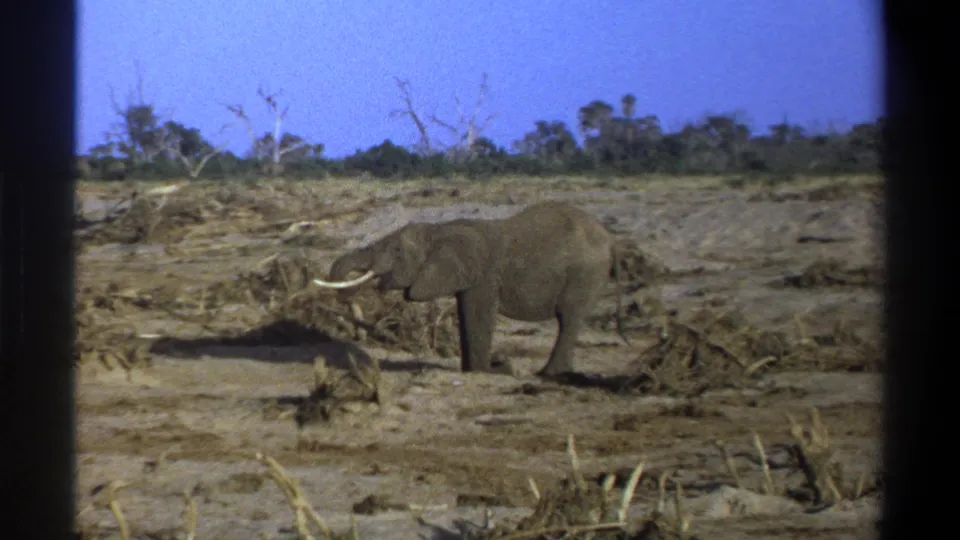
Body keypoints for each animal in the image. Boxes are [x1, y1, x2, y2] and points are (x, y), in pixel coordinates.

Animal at [314, 201, 635, 377]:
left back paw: (548, 374)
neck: (440, 230)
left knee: (568, 319)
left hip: (585, 274)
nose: (344, 298)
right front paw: (474, 370)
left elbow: (478, 316)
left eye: (396, 250)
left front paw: (490, 371)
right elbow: (465, 314)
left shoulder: (484, 276)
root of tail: (612, 240)